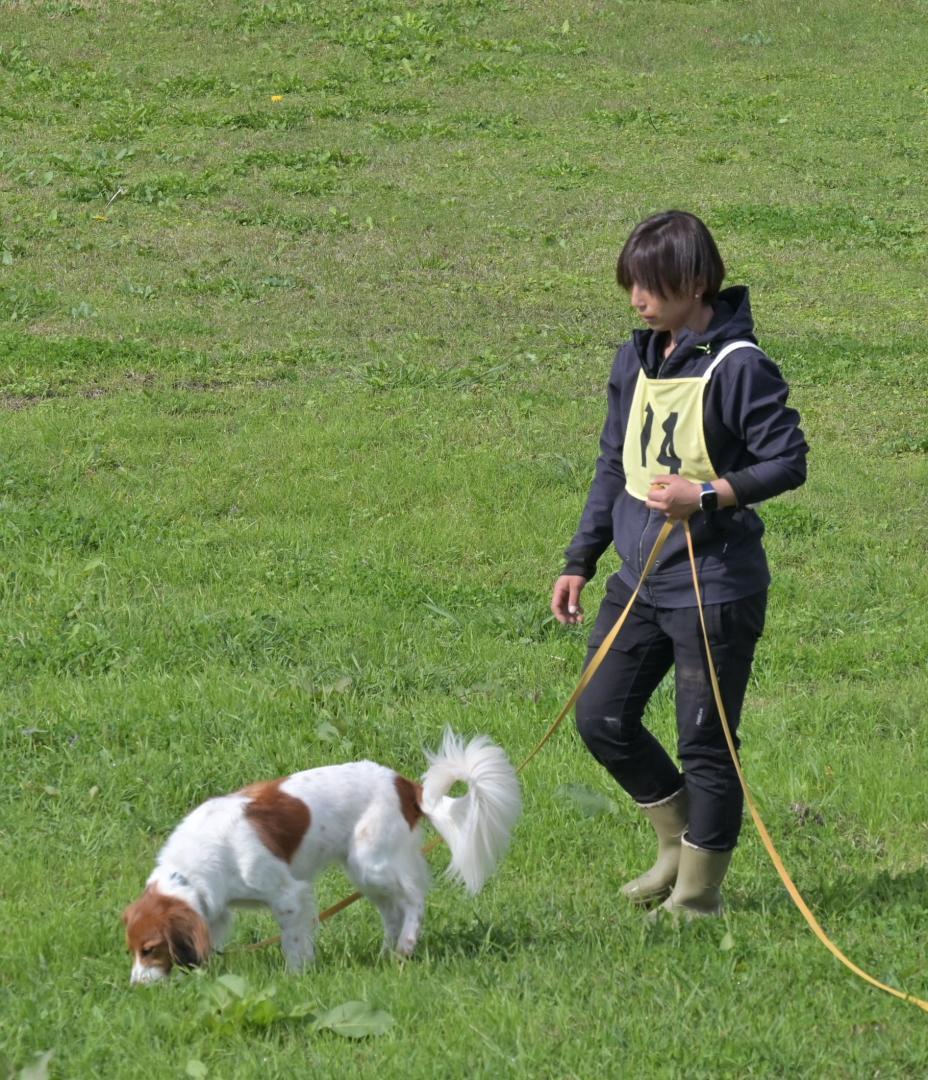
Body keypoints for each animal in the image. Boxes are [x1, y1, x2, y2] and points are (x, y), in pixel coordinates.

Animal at [121, 730, 522, 984]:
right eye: (133, 950)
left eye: (151, 949)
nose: (136, 986)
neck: (197, 862)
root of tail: (407, 786)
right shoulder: (215, 909)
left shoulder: (288, 895)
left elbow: (294, 942)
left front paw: (296, 976)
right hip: (364, 873)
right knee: (392, 911)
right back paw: (384, 954)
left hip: (372, 864)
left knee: (414, 897)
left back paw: (406, 945)